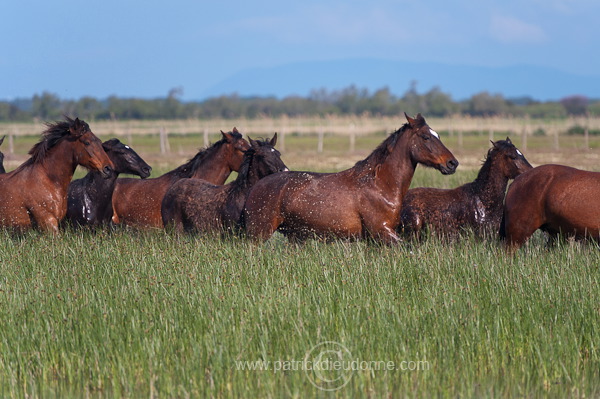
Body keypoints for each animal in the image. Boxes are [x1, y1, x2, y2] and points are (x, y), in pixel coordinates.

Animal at [241, 112, 458, 244]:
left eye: (437, 135)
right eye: (426, 137)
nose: (452, 163)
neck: (379, 185)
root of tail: (256, 186)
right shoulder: (383, 232)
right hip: (258, 234)